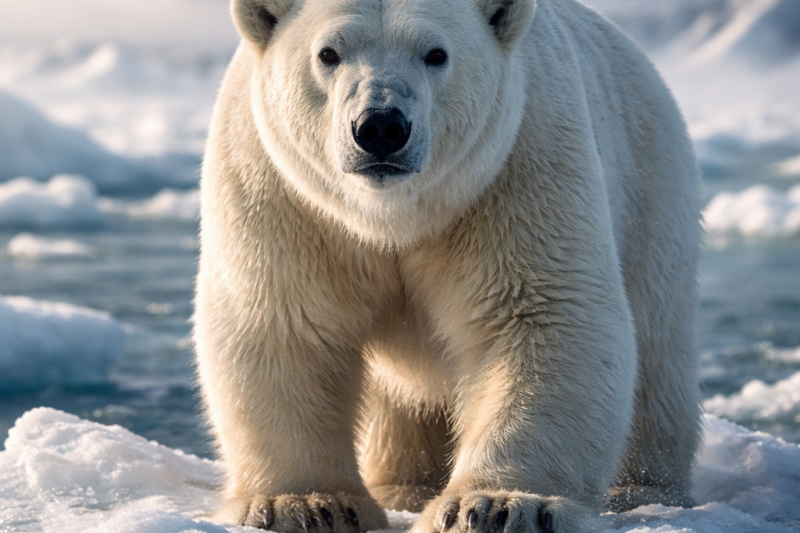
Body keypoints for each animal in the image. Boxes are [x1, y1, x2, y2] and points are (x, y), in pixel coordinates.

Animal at [193, 0, 703, 531]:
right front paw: (304, 505)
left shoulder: (517, 167)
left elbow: (541, 317)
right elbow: (284, 324)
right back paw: (402, 484)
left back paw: (646, 490)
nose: (381, 127)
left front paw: (498, 505)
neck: (391, 216)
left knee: (657, 351)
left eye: (436, 53)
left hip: (650, 184)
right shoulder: (279, 192)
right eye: (328, 52)